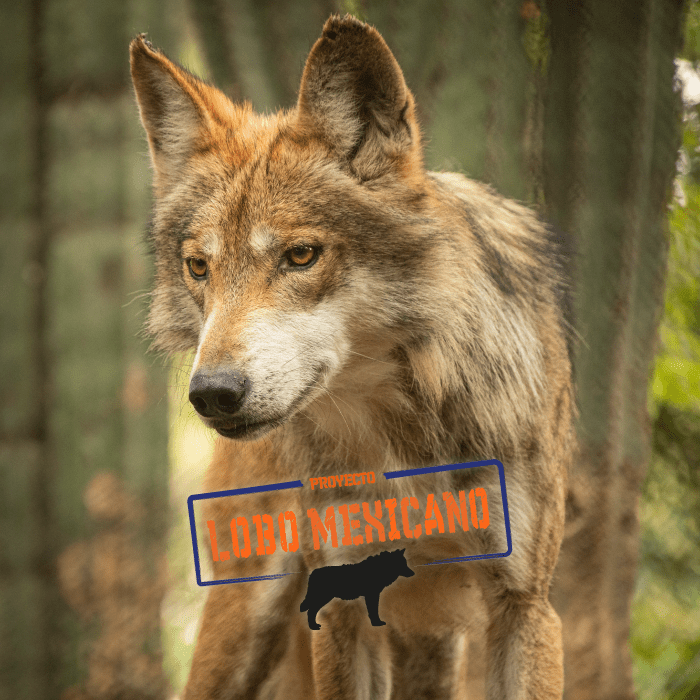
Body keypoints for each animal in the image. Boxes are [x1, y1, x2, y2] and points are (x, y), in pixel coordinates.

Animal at [130, 14, 575, 700]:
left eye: (301, 256)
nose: (213, 394)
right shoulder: (340, 607)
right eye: (199, 267)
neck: (398, 427)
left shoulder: (524, 606)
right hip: (244, 620)